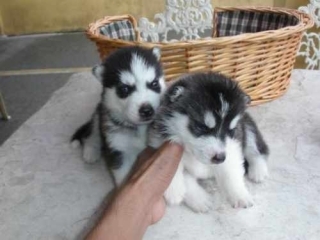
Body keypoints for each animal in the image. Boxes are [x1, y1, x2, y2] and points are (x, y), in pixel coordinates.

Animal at [71, 47, 166, 186]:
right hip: (99, 114)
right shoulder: (119, 148)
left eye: (154, 84)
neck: (140, 128)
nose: (147, 111)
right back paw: (91, 151)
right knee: (91, 133)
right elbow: (123, 177)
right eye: (124, 89)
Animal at [149, 71, 268, 212]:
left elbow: (231, 171)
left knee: (257, 149)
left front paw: (239, 195)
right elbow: (181, 173)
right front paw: (181, 192)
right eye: (202, 127)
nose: (220, 158)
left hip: (247, 125)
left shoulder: (233, 145)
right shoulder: (157, 141)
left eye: (230, 131)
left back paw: (258, 171)